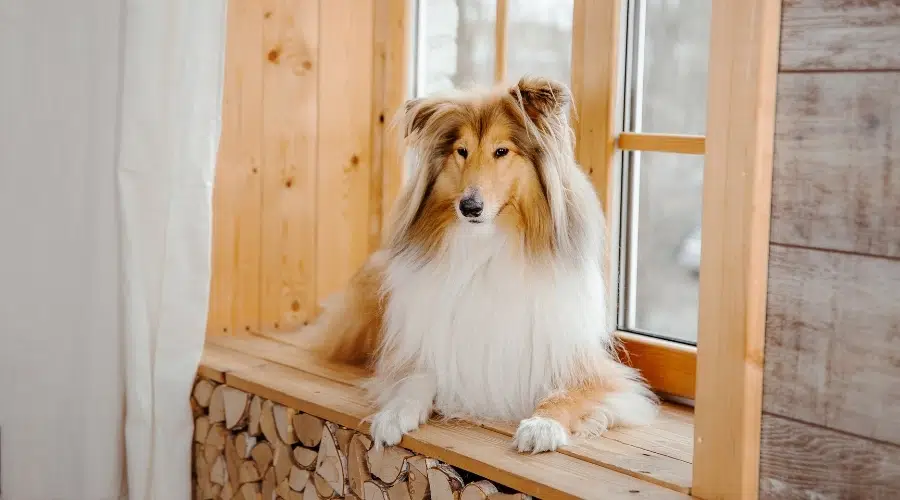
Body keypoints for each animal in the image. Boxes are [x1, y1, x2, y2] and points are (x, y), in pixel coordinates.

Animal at [306, 75, 656, 454]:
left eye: (501, 151)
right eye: (462, 151)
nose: (469, 207)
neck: (487, 245)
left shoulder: (595, 372)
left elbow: (565, 395)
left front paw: (541, 425)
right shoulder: (422, 348)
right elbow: (415, 379)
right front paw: (393, 415)